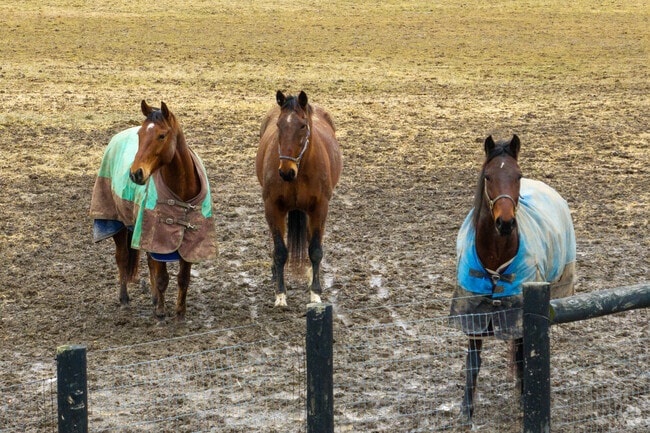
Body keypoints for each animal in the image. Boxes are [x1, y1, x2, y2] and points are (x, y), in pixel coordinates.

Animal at [90, 100, 217, 319]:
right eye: (140, 134)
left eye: (162, 135)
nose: (135, 173)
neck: (182, 193)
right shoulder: (158, 238)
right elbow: (162, 277)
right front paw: (161, 312)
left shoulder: (188, 243)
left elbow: (183, 278)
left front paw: (179, 312)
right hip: (118, 223)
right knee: (122, 258)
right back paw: (125, 299)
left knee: (149, 262)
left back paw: (154, 297)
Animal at [256, 90, 342, 307]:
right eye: (279, 125)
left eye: (303, 125)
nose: (286, 171)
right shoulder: (273, 208)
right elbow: (280, 251)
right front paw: (280, 295)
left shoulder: (319, 209)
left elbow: (315, 250)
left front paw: (315, 293)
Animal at [449, 134, 576, 422]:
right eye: (487, 176)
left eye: (518, 175)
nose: (505, 223)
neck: (496, 255)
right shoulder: (473, 311)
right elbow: (473, 362)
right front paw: (466, 411)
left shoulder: (519, 312)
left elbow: (522, 356)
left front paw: (524, 400)